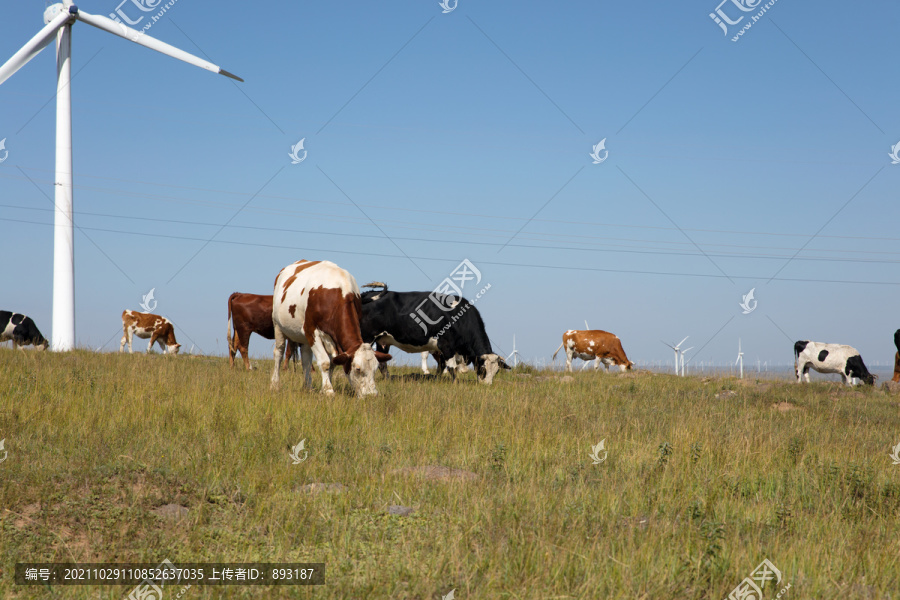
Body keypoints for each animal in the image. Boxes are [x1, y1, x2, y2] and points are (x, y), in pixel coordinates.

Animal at [270, 258, 390, 396]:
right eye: (358, 369)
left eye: (375, 369)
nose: (371, 395)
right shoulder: (312, 331)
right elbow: (325, 362)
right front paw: (328, 390)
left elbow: (333, 362)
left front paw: (326, 386)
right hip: (278, 325)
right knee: (279, 353)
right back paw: (275, 384)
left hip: (303, 336)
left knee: (306, 358)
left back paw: (308, 387)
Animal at [360, 282, 512, 384]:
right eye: (483, 369)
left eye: (496, 371)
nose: (486, 385)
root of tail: (368, 293)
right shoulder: (446, 345)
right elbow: (451, 367)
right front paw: (455, 384)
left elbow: (441, 367)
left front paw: (437, 380)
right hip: (367, 337)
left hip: (383, 340)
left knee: (382, 363)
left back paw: (388, 380)